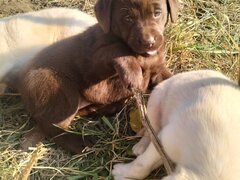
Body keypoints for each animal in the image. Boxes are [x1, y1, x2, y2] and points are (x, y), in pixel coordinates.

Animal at [112, 69, 240, 179]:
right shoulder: (164, 140)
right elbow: (143, 163)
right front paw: (122, 173)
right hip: (156, 98)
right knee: (150, 128)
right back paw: (141, 146)